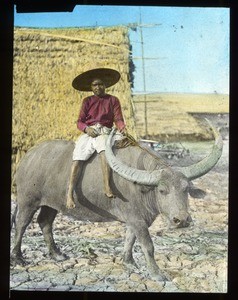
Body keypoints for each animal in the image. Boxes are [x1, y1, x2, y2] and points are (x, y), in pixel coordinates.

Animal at [11, 125, 223, 282]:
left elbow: (130, 239)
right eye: (162, 190)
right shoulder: (137, 219)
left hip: (51, 204)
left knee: (45, 223)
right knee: (21, 224)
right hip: (27, 201)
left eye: (186, 189)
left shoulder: (136, 219)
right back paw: (18, 257)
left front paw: (128, 261)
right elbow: (148, 245)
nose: (182, 220)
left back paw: (56, 254)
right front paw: (156, 273)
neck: (142, 187)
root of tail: (28, 157)